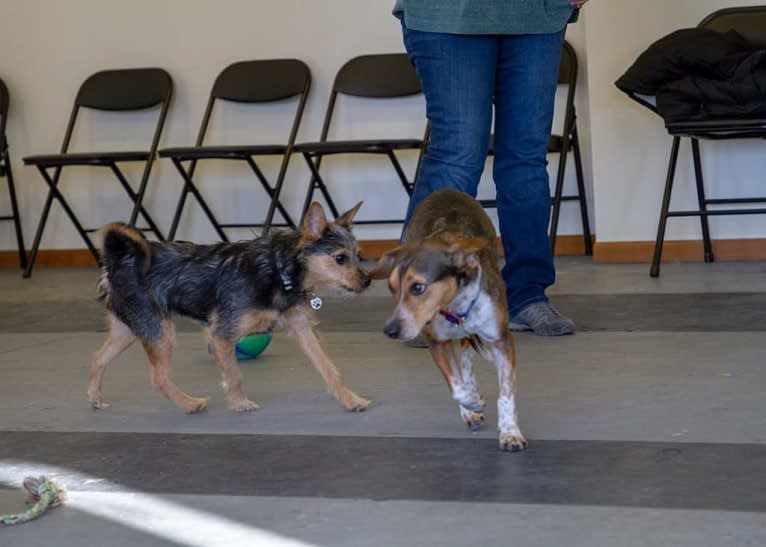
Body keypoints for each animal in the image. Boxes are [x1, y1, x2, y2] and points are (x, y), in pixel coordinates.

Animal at [90, 202, 372, 416]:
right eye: (340, 258)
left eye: (358, 255)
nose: (368, 281)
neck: (279, 269)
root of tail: (117, 261)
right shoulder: (221, 334)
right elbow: (234, 373)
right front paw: (239, 403)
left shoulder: (303, 328)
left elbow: (329, 368)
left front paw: (350, 399)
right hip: (158, 330)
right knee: (158, 378)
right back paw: (190, 404)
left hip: (131, 328)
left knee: (98, 358)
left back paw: (95, 398)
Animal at [372, 189, 528, 454]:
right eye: (391, 288)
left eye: (418, 287)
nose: (390, 330)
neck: (455, 308)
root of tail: (445, 189)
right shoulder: (436, 342)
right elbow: (456, 386)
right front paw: (472, 403)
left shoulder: (502, 340)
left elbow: (506, 394)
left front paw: (510, 432)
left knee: (466, 355)